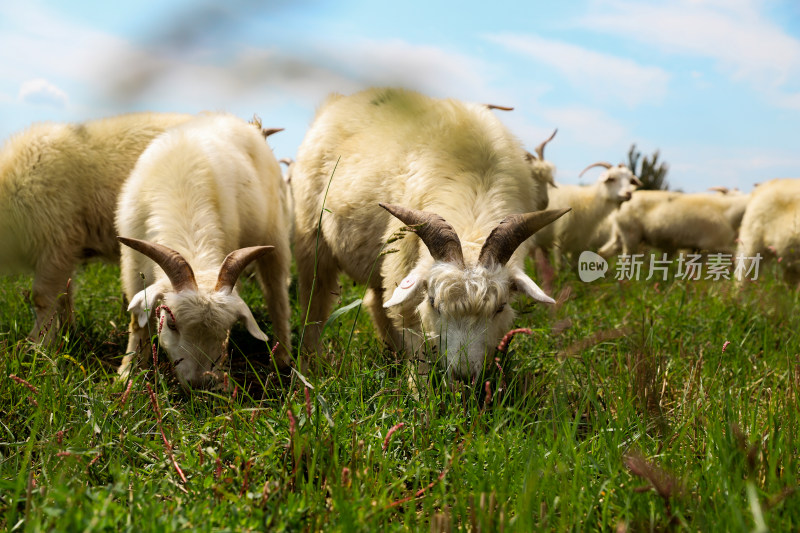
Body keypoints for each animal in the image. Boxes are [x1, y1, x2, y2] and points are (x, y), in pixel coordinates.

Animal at [0, 113, 192, 344]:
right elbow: (65, 297)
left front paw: (37, 343)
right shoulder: (65, 251)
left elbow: (42, 297)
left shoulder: (56, 243)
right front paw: (68, 335)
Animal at [117, 112, 292, 388]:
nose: (199, 383)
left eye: (227, 330)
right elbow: (137, 322)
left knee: (278, 298)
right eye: (171, 324)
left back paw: (283, 357)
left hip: (275, 234)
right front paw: (128, 372)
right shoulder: (132, 264)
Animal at [290, 87, 564, 378]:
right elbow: (416, 344)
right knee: (314, 303)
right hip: (312, 238)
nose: (463, 376)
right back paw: (309, 366)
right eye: (433, 303)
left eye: (500, 308)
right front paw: (419, 386)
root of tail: (339, 100)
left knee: (377, 303)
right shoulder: (404, 270)